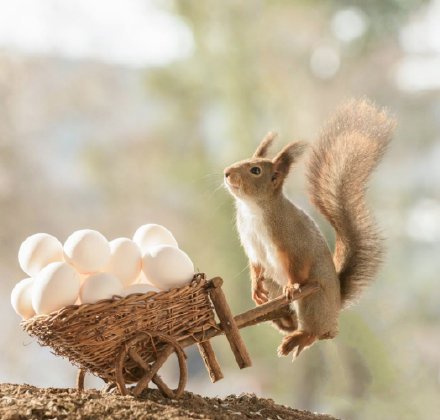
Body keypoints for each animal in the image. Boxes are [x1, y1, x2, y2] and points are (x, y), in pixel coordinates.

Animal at [223, 98, 396, 358]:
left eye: (255, 170)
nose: (227, 173)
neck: (252, 210)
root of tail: (335, 309)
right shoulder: (250, 242)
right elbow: (255, 264)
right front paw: (254, 288)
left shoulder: (291, 241)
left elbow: (296, 264)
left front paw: (292, 285)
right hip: (274, 284)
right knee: (290, 317)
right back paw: (281, 318)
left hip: (312, 300)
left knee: (315, 332)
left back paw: (298, 337)